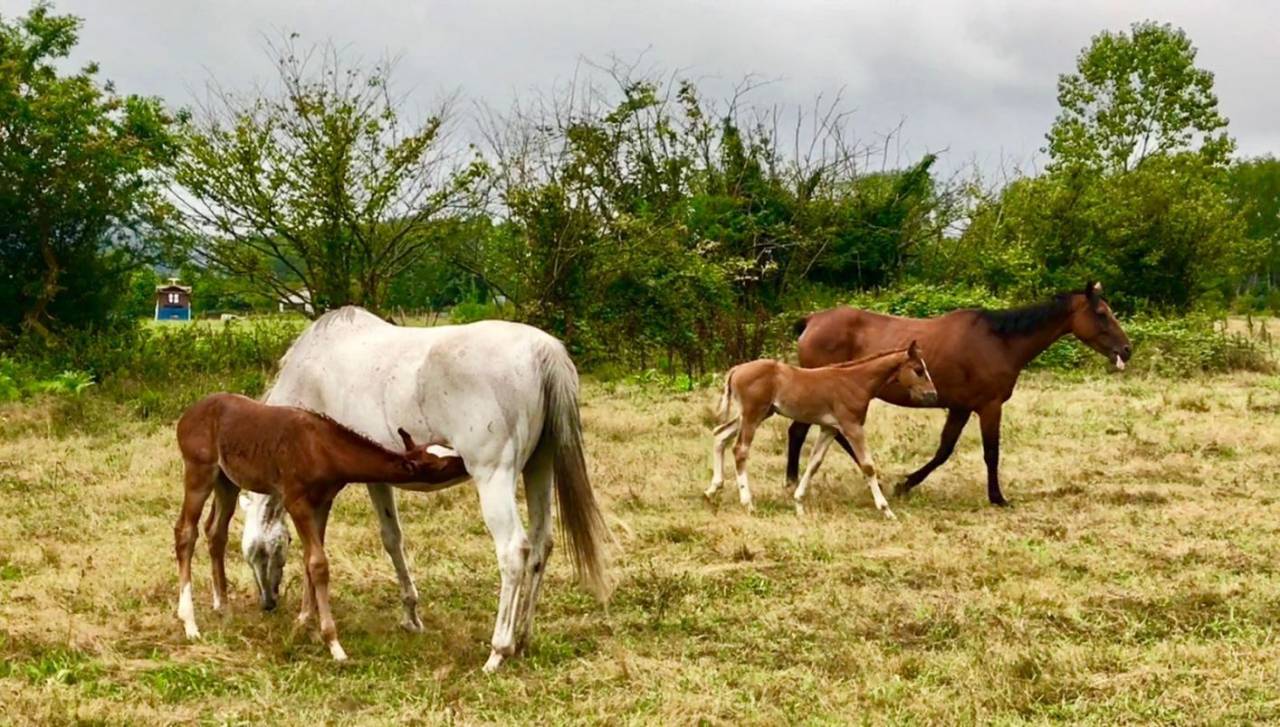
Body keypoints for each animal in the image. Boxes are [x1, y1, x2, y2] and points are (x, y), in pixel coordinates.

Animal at [174, 393, 468, 660]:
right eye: (441, 464)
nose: (466, 462)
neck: (321, 447)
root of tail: (186, 416)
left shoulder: (323, 502)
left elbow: (309, 561)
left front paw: (307, 626)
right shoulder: (296, 501)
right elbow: (318, 563)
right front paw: (333, 643)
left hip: (227, 480)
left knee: (216, 532)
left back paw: (222, 607)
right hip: (199, 470)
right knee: (186, 532)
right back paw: (190, 623)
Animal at [235, 306, 611, 672]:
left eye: (258, 552)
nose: (267, 603)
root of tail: (542, 350)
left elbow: (344, 545)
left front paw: (305, 619)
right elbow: (390, 538)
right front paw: (410, 616)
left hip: (494, 478)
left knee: (513, 551)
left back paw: (499, 651)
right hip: (539, 467)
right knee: (540, 544)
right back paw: (523, 638)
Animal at [707, 342, 937, 517]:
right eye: (919, 370)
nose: (932, 395)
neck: (856, 381)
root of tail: (735, 370)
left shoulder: (829, 429)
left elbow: (814, 463)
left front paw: (799, 503)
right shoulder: (852, 426)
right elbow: (867, 466)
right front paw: (887, 510)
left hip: (758, 414)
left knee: (720, 434)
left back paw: (712, 490)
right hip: (753, 414)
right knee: (740, 449)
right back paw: (748, 503)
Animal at [785, 281, 1132, 506]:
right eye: (1101, 313)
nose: (1126, 349)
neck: (1000, 342)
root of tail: (812, 320)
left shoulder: (961, 408)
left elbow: (943, 451)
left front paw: (905, 484)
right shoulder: (990, 407)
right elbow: (991, 452)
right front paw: (997, 497)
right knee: (801, 432)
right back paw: (794, 481)